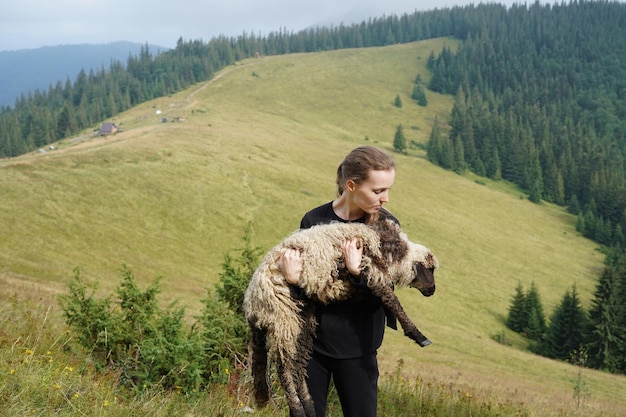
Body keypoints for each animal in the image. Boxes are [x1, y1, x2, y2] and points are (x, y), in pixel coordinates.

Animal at [241, 218, 436, 416]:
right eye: (431, 270)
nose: (432, 290)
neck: (396, 253)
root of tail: (252, 304)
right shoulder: (371, 268)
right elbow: (392, 300)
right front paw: (418, 335)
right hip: (283, 315)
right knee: (284, 366)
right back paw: (298, 409)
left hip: (301, 317)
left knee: (299, 366)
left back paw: (309, 406)